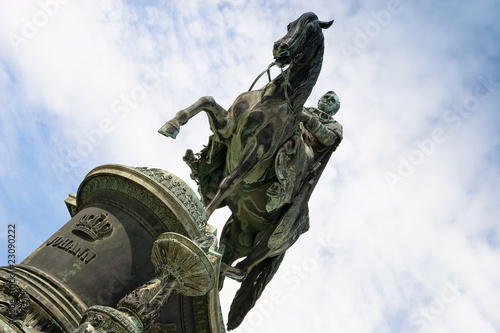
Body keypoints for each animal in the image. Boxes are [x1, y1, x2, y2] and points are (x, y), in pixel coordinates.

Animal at [159, 12, 332, 326]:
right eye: (290, 24)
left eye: (311, 31)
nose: (280, 48)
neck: (277, 97)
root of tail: (304, 222)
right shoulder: (229, 126)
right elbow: (206, 99)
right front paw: (171, 125)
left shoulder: (257, 150)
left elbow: (228, 182)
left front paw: (202, 217)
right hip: (237, 231)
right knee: (229, 263)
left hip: (270, 244)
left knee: (241, 271)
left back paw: (211, 257)